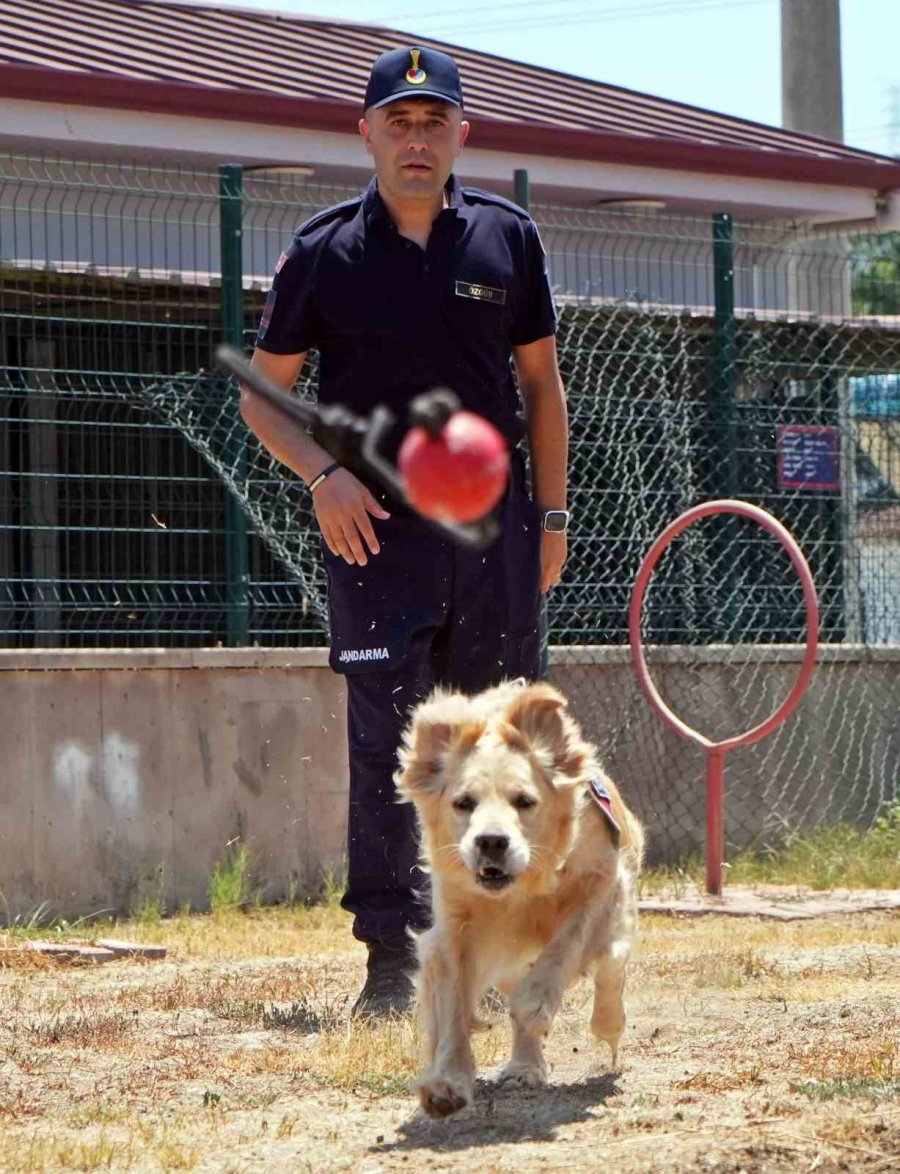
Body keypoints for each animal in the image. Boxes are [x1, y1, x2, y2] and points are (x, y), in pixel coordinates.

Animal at [398, 680, 643, 1117]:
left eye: (525, 801)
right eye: (463, 803)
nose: (491, 841)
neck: (523, 886)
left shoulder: (601, 883)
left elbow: (566, 946)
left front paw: (536, 1003)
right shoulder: (457, 925)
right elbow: (453, 1006)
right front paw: (447, 1082)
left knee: (612, 967)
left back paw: (607, 1024)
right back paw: (525, 1066)